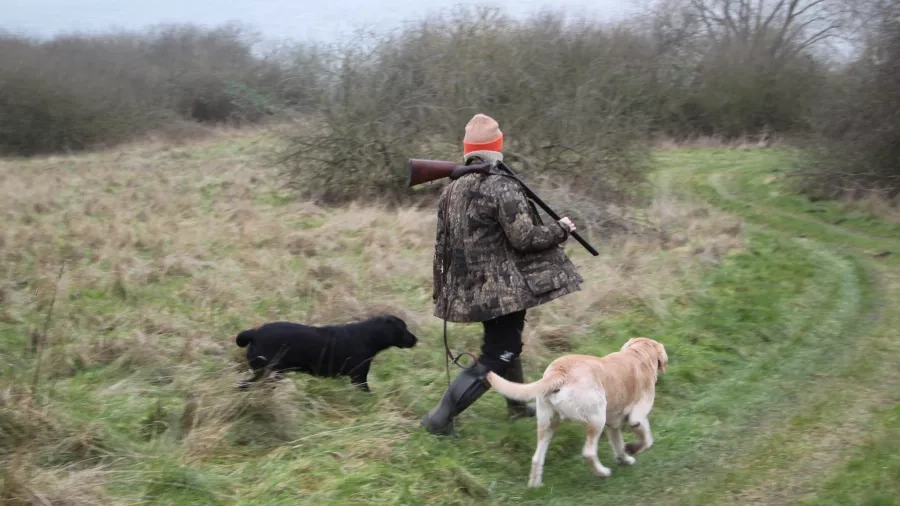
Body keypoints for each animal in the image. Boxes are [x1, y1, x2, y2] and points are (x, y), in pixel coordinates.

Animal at [232, 316, 414, 392]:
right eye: (403, 328)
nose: (416, 339)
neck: (367, 336)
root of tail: (254, 333)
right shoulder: (359, 377)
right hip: (268, 372)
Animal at [486, 338, 668, 488]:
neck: (639, 354)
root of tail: (559, 372)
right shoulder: (637, 417)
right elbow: (647, 439)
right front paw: (632, 449)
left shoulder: (613, 426)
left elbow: (618, 446)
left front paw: (625, 458)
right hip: (597, 420)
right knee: (588, 453)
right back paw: (602, 472)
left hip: (547, 424)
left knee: (537, 457)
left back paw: (535, 485)